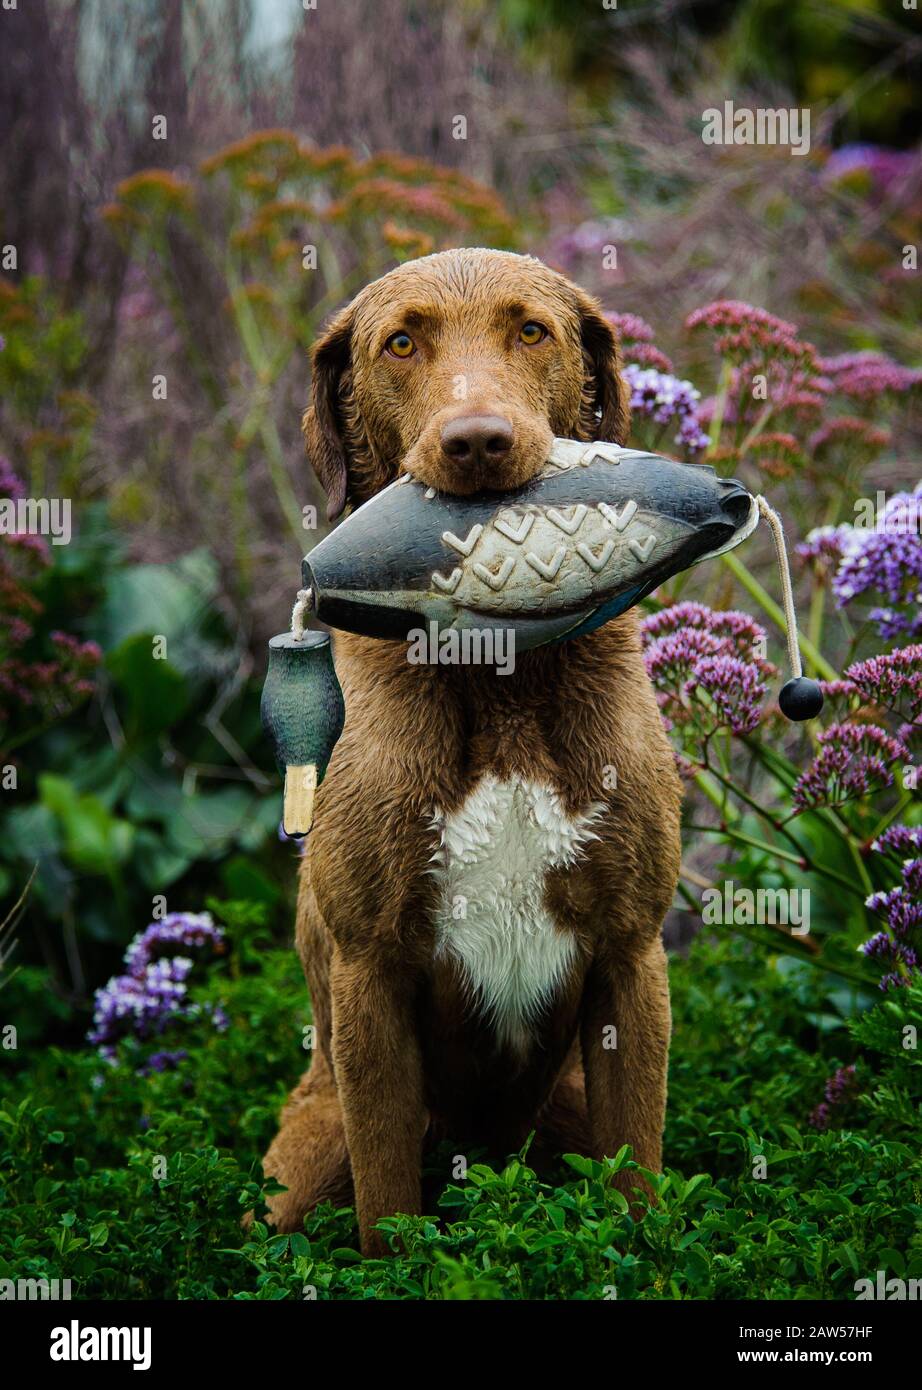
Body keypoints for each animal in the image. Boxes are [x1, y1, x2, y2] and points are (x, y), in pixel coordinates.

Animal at [262, 250, 681, 1262]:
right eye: (400, 343)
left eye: (531, 330)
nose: (479, 442)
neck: (502, 681)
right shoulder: (369, 976)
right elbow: (387, 1216)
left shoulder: (632, 957)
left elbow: (638, 1183)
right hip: (309, 1145)